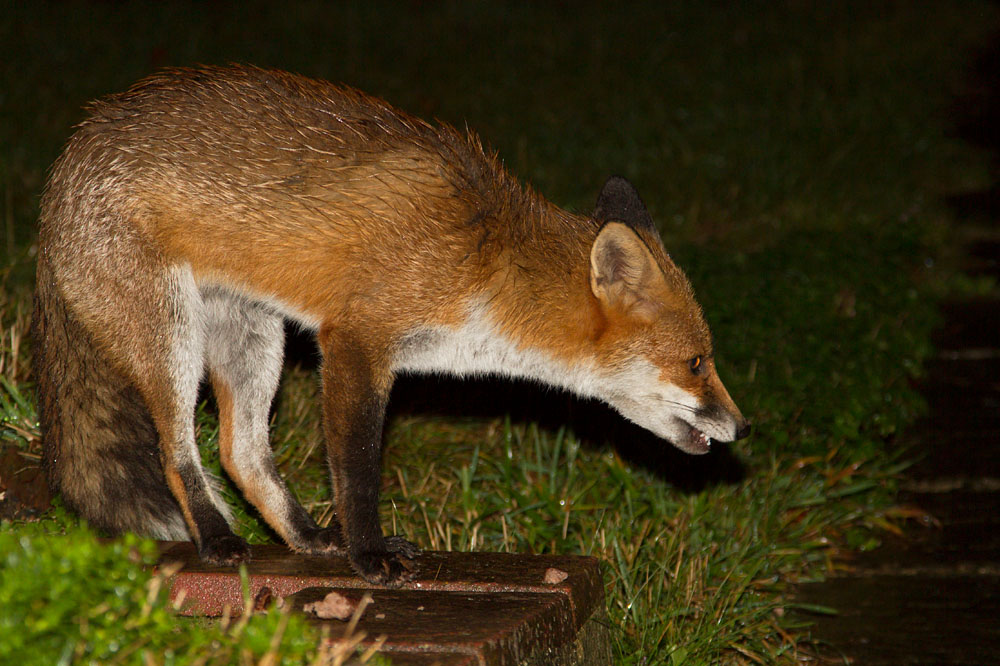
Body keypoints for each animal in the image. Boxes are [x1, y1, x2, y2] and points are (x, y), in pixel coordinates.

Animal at [32, 65, 749, 585]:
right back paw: (218, 539)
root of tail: (66, 159)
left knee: (241, 452)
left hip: (253, 339)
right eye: (696, 362)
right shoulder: (356, 340)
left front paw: (349, 547)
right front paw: (369, 556)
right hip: (173, 339)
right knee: (177, 450)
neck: (486, 262)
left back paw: (306, 538)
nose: (744, 427)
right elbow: (359, 471)